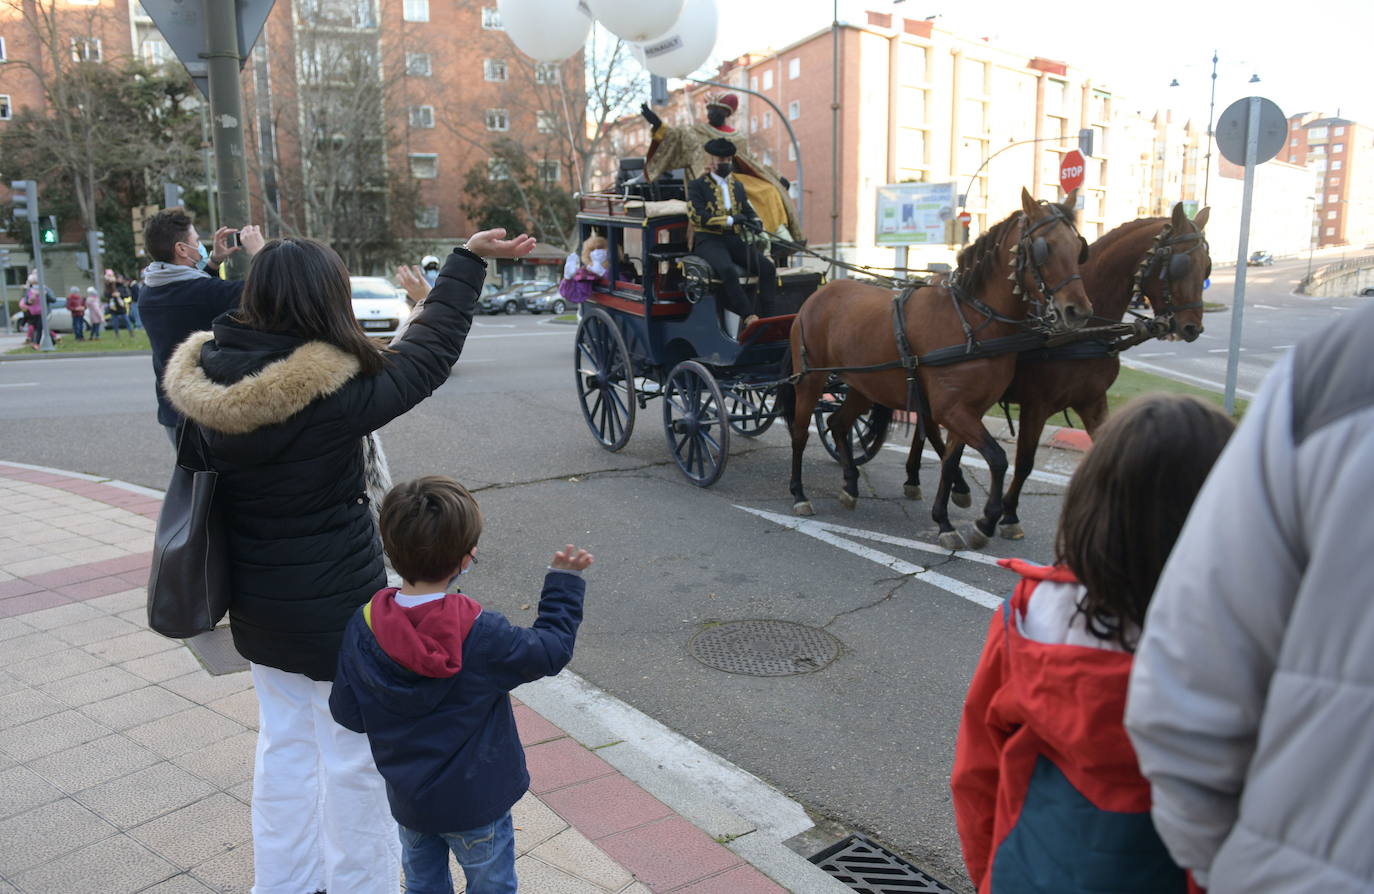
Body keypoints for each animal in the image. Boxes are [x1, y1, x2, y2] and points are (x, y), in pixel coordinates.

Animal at [780, 189, 1088, 549]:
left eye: (1078, 247)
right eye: (1044, 247)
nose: (1078, 310)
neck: (971, 319)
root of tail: (819, 294)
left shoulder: (968, 411)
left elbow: (951, 461)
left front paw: (944, 520)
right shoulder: (951, 409)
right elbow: (997, 458)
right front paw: (985, 522)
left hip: (863, 385)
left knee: (838, 424)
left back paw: (851, 485)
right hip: (810, 380)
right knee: (800, 433)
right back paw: (799, 493)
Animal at [989, 201, 1214, 538]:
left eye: (1207, 267)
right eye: (1180, 265)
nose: (1192, 328)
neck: (1084, 332)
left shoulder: (1092, 401)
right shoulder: (1036, 405)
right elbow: (1026, 461)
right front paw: (1010, 514)